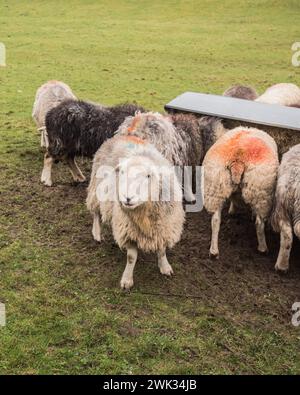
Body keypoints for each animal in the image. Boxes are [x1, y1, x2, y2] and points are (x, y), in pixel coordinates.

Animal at [86, 134, 185, 290]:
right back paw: (96, 233)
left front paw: (165, 267)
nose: (127, 198)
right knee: (96, 212)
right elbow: (131, 258)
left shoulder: (164, 227)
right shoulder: (129, 230)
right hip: (96, 188)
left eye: (148, 176)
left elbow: (162, 250)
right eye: (122, 173)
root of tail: (119, 136)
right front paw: (127, 279)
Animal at [204, 125, 278, 258]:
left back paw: (213, 251)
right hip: (260, 192)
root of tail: (237, 158)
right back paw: (263, 248)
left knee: (215, 221)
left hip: (215, 188)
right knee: (259, 223)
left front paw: (232, 210)